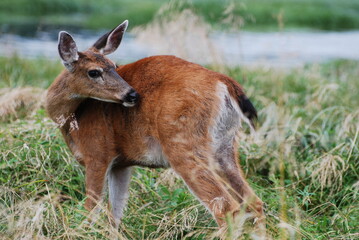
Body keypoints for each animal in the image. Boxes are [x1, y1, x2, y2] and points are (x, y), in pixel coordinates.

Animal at [45, 19, 266, 237]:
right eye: (94, 71)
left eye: (114, 66)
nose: (132, 94)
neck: (74, 118)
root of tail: (224, 83)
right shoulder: (121, 163)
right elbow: (114, 215)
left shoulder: (97, 154)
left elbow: (91, 210)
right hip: (223, 147)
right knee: (254, 201)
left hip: (183, 145)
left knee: (226, 207)